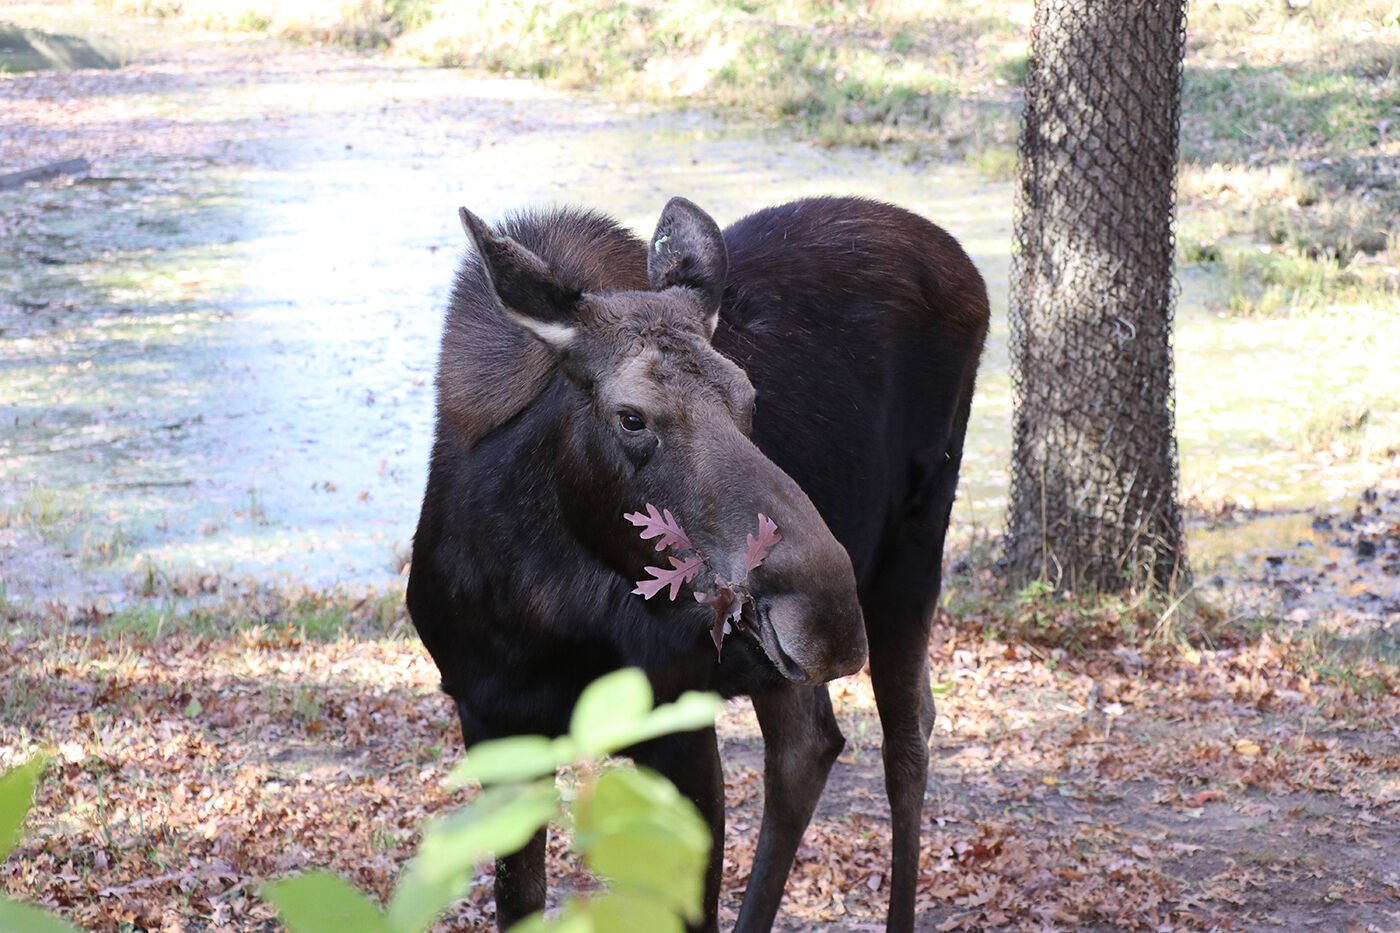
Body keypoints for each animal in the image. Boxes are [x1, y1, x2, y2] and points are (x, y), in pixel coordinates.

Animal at [408, 191, 991, 924]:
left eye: (750, 397)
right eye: (632, 417)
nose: (828, 613)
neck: (533, 615)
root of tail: (960, 261)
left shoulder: (678, 723)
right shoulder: (491, 725)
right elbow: (522, 902)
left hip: (913, 548)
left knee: (906, 737)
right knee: (811, 743)